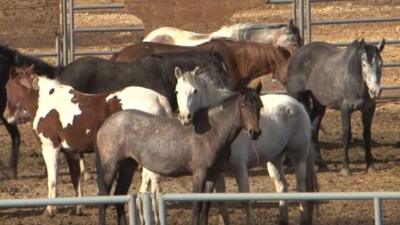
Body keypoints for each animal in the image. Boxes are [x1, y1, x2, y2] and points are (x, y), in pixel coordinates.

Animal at [3, 65, 173, 216]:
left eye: (6, 87)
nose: (6, 116)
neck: (47, 102)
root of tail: (158, 99)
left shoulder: (50, 148)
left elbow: (52, 180)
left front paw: (50, 210)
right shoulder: (72, 151)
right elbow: (76, 179)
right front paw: (78, 208)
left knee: (150, 179)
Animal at [175, 66, 318, 225]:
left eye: (195, 91)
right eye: (177, 91)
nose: (185, 117)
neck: (222, 125)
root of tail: (298, 106)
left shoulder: (240, 169)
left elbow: (245, 200)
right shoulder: (216, 172)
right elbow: (220, 200)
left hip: (299, 157)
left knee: (301, 188)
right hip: (275, 159)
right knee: (282, 186)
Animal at [286, 38, 386, 176]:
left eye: (381, 64)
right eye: (364, 64)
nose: (375, 91)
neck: (354, 79)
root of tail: (297, 53)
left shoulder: (369, 109)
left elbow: (367, 135)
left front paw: (370, 167)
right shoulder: (345, 109)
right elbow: (346, 135)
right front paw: (345, 169)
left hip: (319, 104)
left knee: (313, 130)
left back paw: (321, 164)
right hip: (295, 95)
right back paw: (289, 164)